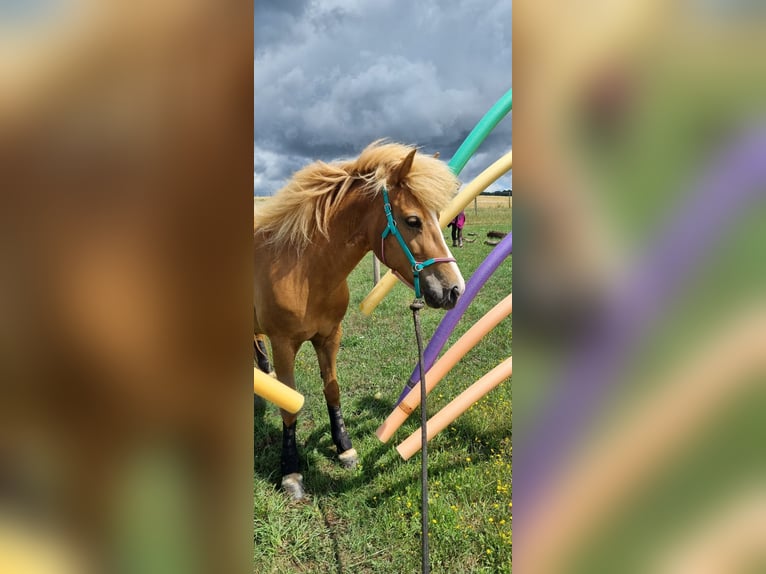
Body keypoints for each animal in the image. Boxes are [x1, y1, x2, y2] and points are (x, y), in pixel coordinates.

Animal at [255, 142, 464, 502]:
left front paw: (344, 449)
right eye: (413, 220)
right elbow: (290, 406)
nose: (455, 289)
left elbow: (332, 389)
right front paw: (291, 472)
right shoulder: (283, 344)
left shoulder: (330, 336)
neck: (304, 272)